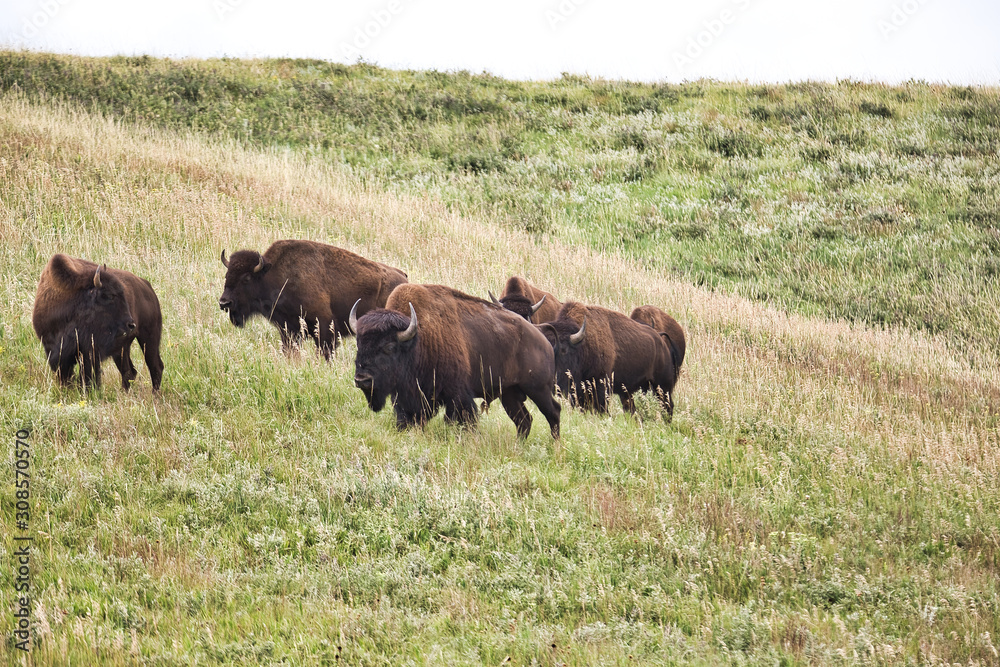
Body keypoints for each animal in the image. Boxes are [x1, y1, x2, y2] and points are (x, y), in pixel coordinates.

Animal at [32, 256, 164, 392]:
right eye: (109, 295)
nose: (131, 325)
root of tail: (146, 286)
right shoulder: (54, 350)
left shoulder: (89, 351)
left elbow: (89, 375)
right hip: (122, 348)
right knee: (129, 371)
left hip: (148, 338)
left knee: (155, 366)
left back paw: (154, 394)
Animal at [218, 241, 406, 360]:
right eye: (227, 275)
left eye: (246, 278)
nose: (224, 303)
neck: (274, 275)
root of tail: (403, 277)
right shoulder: (289, 330)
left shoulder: (324, 326)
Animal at [348, 284, 560, 440]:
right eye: (359, 343)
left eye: (390, 347)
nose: (362, 380)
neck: (418, 340)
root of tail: (543, 340)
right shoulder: (408, 399)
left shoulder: (458, 396)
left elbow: (465, 421)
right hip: (509, 393)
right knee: (524, 420)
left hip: (538, 389)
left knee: (553, 412)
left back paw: (555, 447)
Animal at [540, 302, 680, 418]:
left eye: (564, 350)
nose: (553, 384)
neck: (583, 345)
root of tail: (662, 342)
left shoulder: (601, 385)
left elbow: (602, 408)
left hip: (662, 385)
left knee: (667, 405)